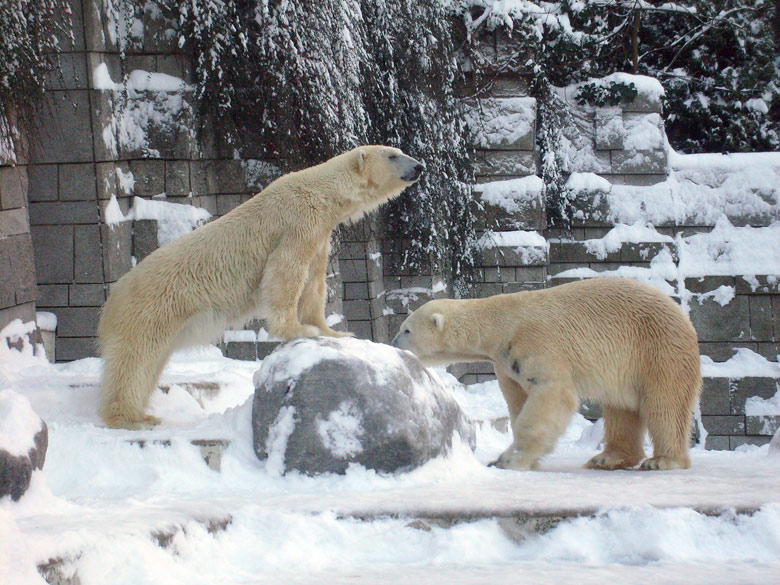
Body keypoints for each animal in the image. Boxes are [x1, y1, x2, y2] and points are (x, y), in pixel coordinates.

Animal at [101, 146, 426, 428]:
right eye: (392, 154)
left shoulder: (320, 234)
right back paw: (131, 419)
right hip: (150, 311)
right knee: (134, 363)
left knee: (150, 364)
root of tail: (112, 300)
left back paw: (142, 413)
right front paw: (298, 330)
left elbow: (314, 283)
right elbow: (285, 272)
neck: (321, 194)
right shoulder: (297, 223)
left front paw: (334, 331)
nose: (419, 166)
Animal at [394, 278, 704, 470]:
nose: (394, 342)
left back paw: (663, 460)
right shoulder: (507, 363)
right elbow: (518, 401)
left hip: (657, 349)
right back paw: (607, 458)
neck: (502, 324)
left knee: (665, 404)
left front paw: (511, 459)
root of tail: (683, 317)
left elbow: (552, 395)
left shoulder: (536, 344)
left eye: (406, 329)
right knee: (621, 409)